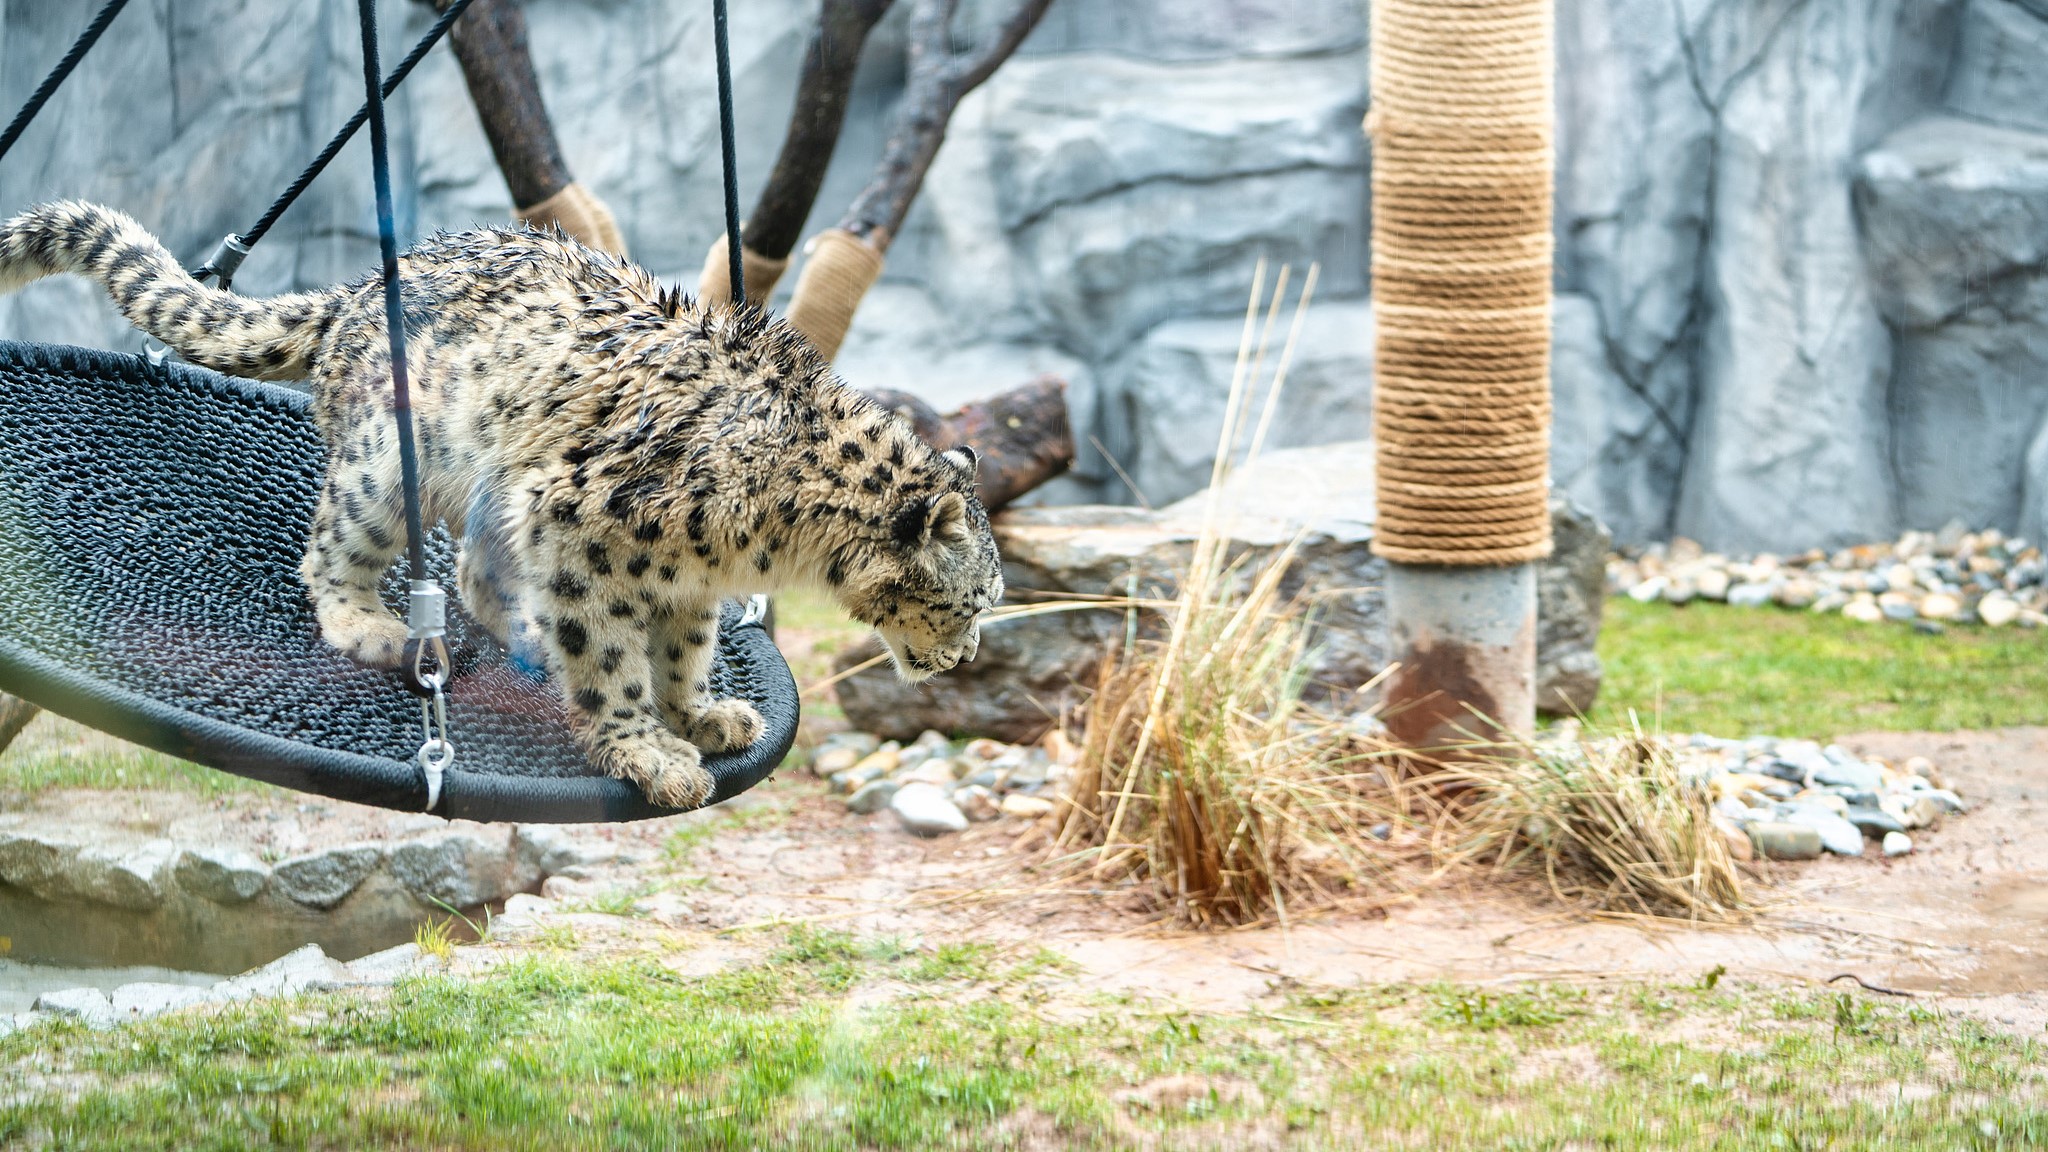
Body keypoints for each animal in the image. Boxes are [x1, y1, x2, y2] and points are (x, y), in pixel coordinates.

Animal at [0, 200, 1002, 808]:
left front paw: (702, 711)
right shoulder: (580, 529)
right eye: (975, 601)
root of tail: (355, 293)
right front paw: (648, 749)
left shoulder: (682, 582)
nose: (965, 659)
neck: (769, 537)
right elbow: (610, 660)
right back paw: (372, 626)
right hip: (384, 472)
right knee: (333, 549)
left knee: (480, 576)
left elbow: (682, 648)